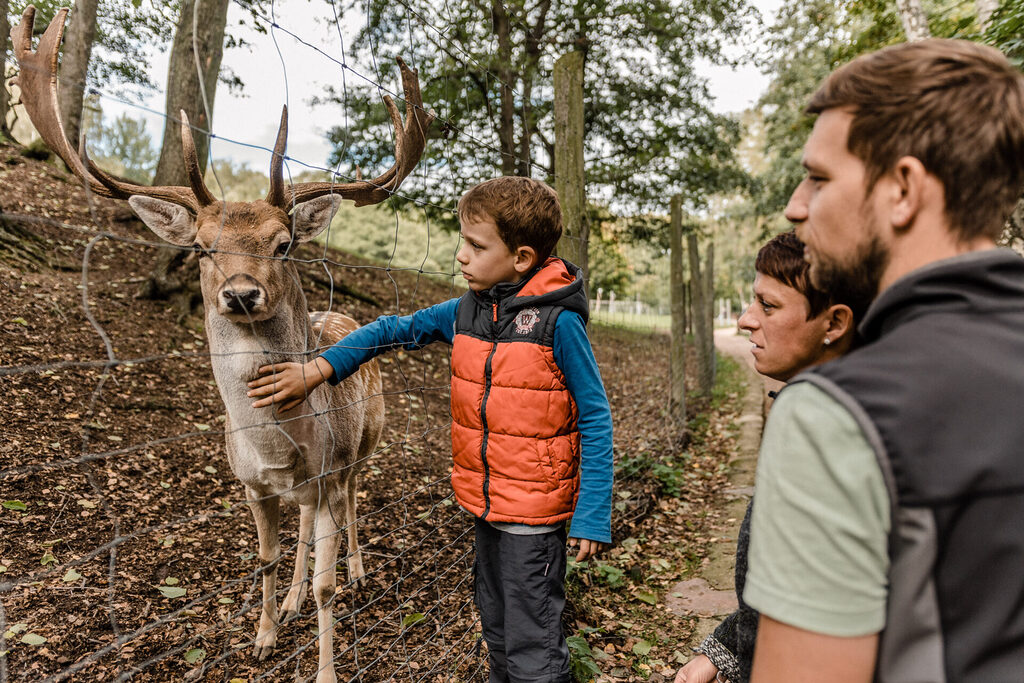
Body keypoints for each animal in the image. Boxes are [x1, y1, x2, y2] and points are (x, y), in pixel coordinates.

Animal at [12, 6, 435, 682]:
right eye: (202, 247)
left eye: (283, 243)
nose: (240, 293)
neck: (274, 445)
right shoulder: (251, 484)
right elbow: (265, 558)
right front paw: (264, 634)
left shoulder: (324, 467)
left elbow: (327, 582)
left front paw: (325, 664)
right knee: (308, 522)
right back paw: (290, 600)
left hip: (366, 442)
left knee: (350, 503)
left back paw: (359, 571)